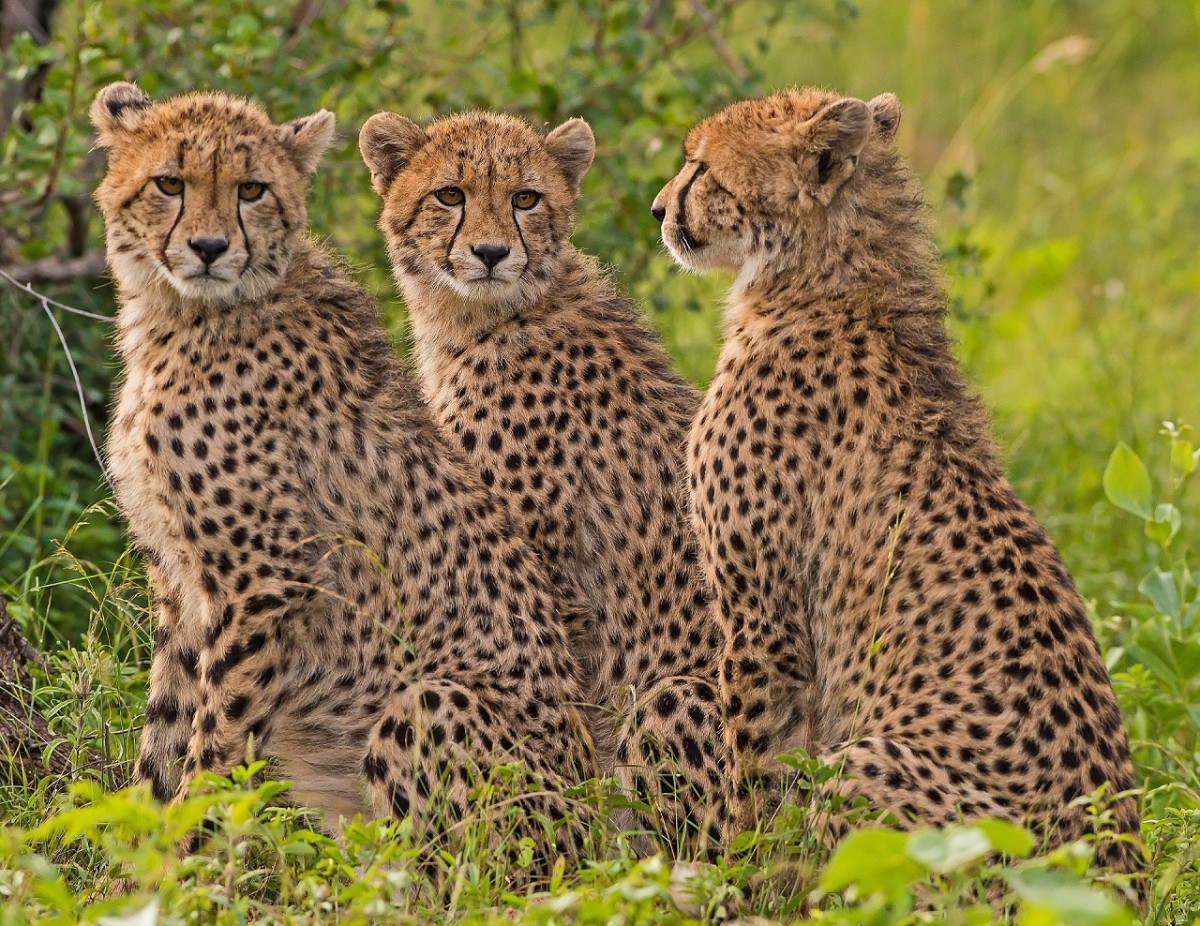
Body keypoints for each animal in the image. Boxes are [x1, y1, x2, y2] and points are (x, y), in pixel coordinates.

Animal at [90, 82, 597, 869]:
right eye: (169, 183)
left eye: (252, 190)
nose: (209, 249)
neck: (182, 312)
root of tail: (600, 831)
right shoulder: (179, 584)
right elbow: (161, 739)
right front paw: (131, 872)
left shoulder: (266, 580)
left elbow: (214, 745)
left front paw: (188, 867)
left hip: (433, 707)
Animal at [359, 109, 728, 855]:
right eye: (449, 195)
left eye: (526, 198)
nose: (491, 253)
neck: (495, 316)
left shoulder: (544, 581)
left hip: (679, 697)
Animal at [652, 87, 1142, 895]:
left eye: (702, 167)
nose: (660, 207)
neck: (826, 281)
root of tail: (1112, 876)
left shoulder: (764, 621)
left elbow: (753, 770)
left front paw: (740, 880)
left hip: (870, 766)